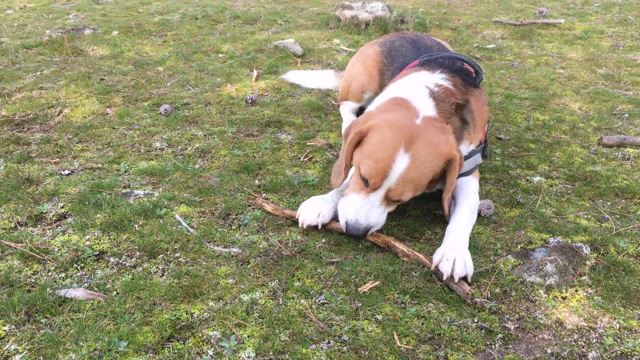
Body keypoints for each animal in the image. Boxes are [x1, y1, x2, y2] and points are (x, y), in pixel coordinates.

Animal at [282, 31, 488, 284]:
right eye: (364, 178)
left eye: (399, 200)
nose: (356, 231)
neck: (431, 101)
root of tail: (395, 34)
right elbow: (345, 180)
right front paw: (324, 202)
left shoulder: (468, 173)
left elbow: (464, 213)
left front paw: (455, 251)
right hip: (362, 83)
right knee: (345, 106)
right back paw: (348, 122)